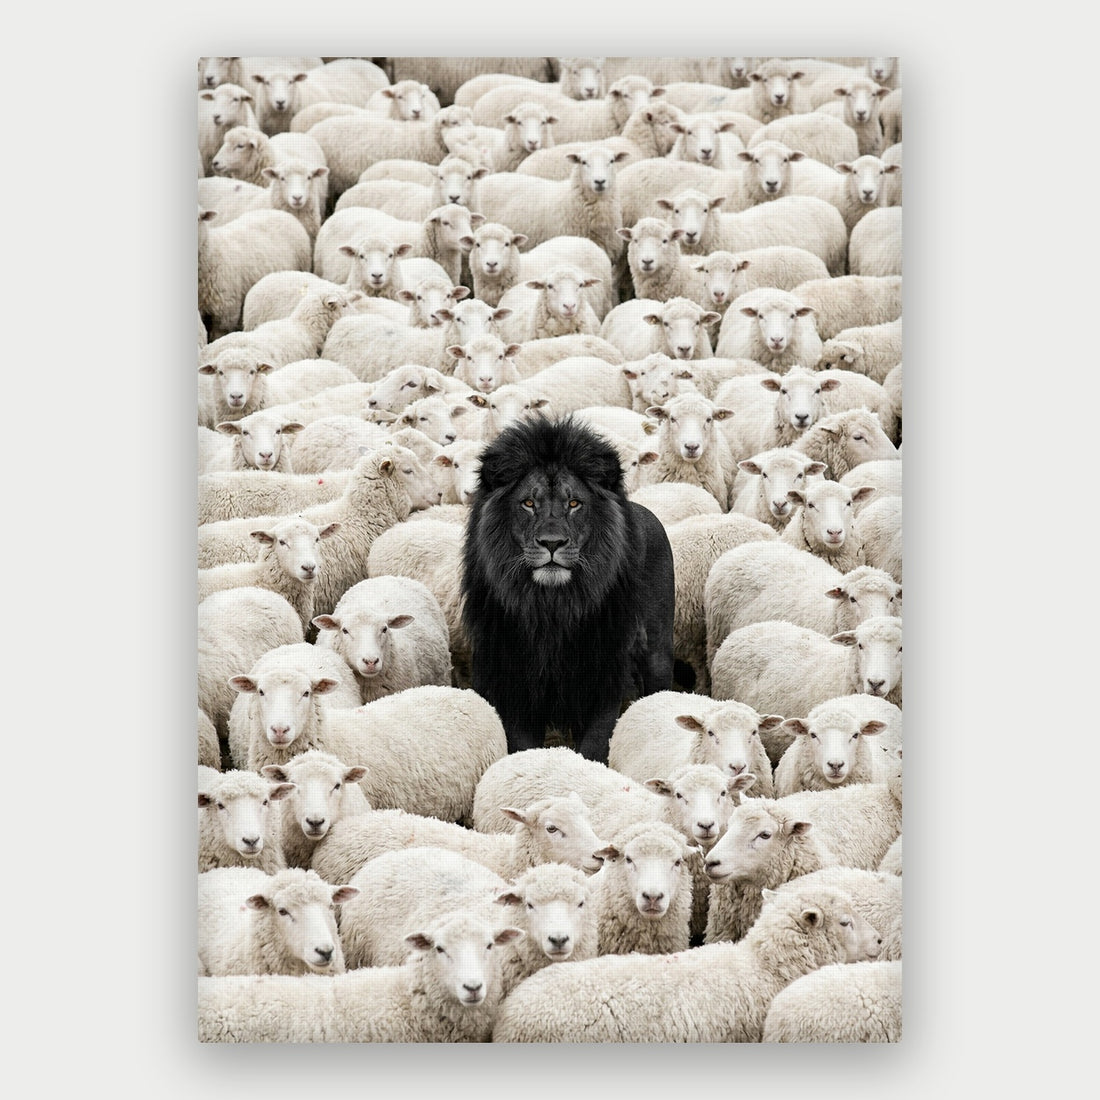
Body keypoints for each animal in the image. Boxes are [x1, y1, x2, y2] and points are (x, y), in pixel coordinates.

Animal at [461, 414, 675, 763]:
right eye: (528, 503)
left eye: (574, 503)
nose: (552, 543)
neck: (553, 608)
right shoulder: (515, 685)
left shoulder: (602, 680)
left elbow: (594, 747)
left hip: (658, 653)